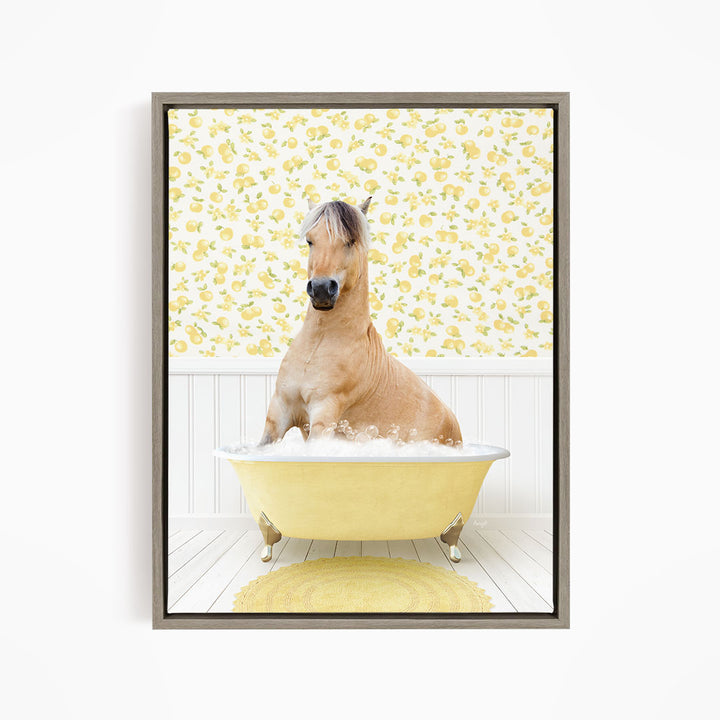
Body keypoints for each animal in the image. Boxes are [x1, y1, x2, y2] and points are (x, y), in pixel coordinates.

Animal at [259, 198, 462, 445]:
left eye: (350, 241)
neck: (317, 345)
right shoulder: (279, 411)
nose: (321, 289)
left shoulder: (324, 414)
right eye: (310, 240)